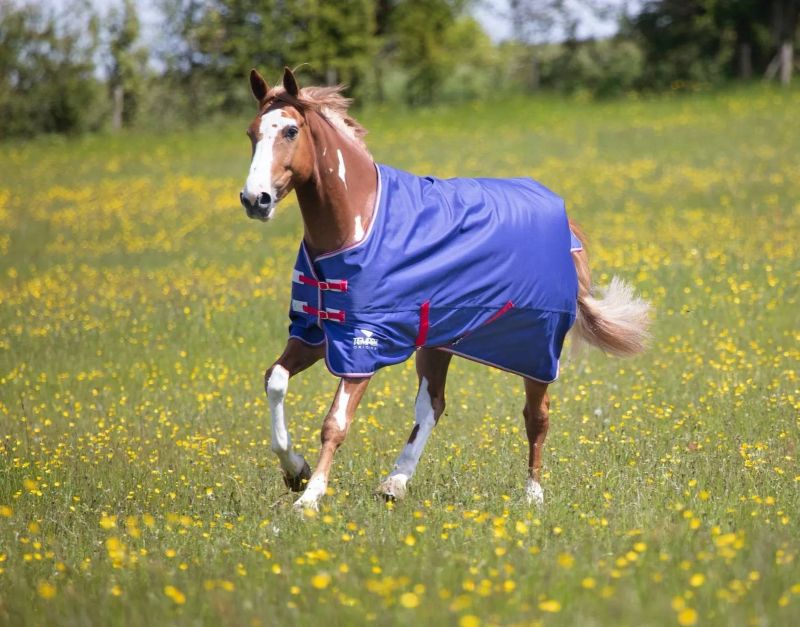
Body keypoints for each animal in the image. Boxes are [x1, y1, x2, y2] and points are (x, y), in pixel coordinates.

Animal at [239, 68, 648, 512]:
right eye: (251, 132)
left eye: (291, 130)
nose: (255, 200)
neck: (357, 222)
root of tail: (564, 221)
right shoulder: (317, 333)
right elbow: (274, 379)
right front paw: (294, 470)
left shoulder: (364, 343)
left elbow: (335, 423)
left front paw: (310, 498)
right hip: (440, 341)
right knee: (433, 405)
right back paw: (395, 482)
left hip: (535, 348)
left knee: (536, 417)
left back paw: (533, 495)